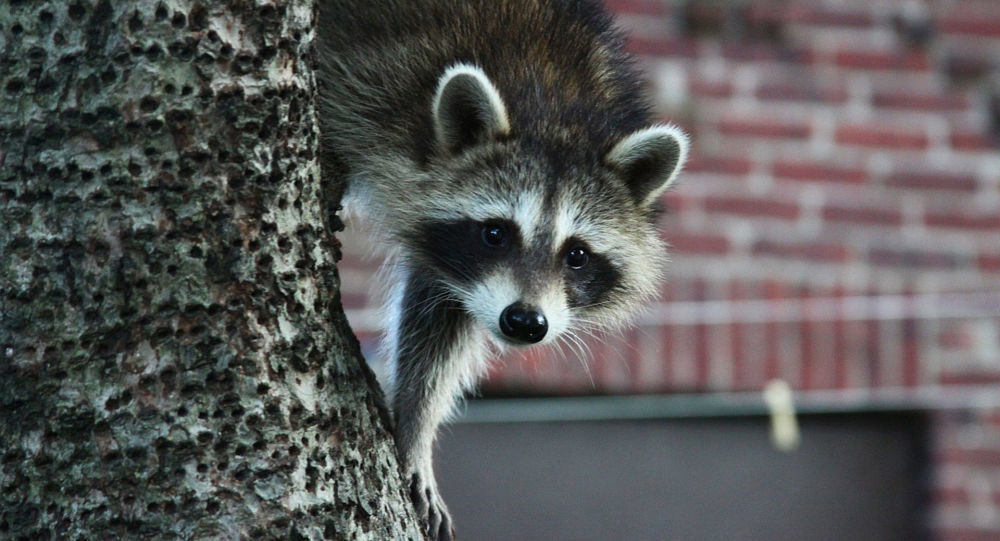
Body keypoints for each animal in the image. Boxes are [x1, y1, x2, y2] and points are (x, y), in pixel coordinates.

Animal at [318, 1, 688, 538]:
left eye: (577, 255)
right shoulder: (372, 80)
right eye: (496, 233)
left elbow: (440, 325)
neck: (553, 108)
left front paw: (415, 423)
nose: (525, 322)